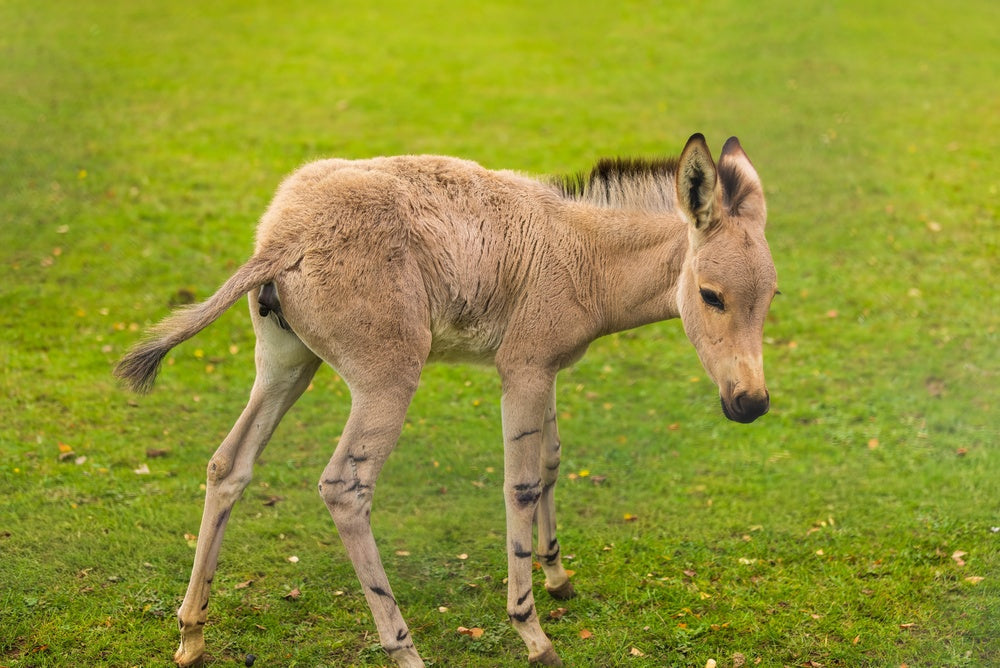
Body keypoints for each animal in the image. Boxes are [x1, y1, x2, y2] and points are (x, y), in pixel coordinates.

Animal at [115, 133, 778, 666]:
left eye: (771, 297)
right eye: (711, 295)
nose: (751, 405)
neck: (583, 254)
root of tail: (285, 237)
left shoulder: (547, 372)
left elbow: (552, 460)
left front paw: (557, 575)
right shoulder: (523, 372)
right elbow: (521, 483)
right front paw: (532, 632)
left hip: (285, 366)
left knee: (229, 465)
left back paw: (191, 635)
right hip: (387, 382)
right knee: (345, 487)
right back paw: (403, 648)